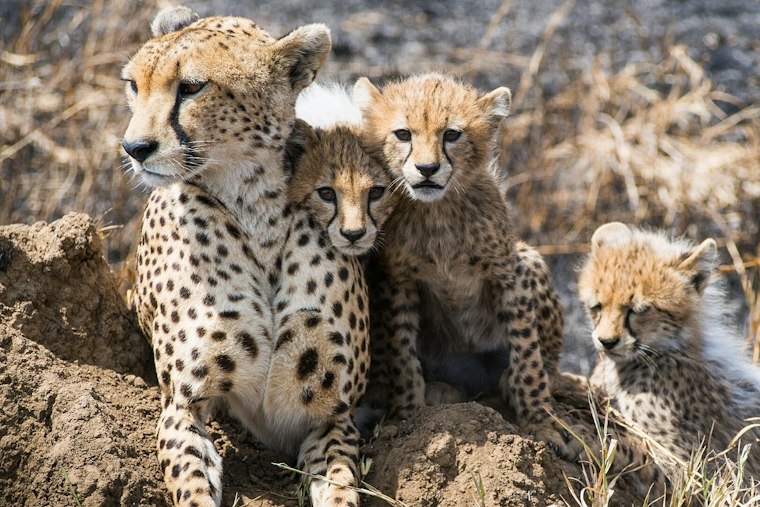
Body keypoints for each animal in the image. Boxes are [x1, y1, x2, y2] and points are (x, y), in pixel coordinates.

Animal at [122, 7, 369, 506]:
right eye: (133, 85)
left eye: (191, 87)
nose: (134, 148)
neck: (255, 207)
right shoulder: (182, 404)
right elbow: (192, 483)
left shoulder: (334, 416)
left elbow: (339, 487)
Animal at [351, 72, 581, 458]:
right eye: (403, 134)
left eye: (451, 135)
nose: (427, 169)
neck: (438, 210)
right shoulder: (398, 281)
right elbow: (402, 355)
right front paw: (405, 417)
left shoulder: (508, 271)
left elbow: (528, 357)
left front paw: (541, 421)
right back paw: (441, 391)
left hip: (530, 259)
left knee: (542, 362)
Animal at [578, 221, 760, 489]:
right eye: (596, 306)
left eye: (639, 310)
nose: (607, 342)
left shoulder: (703, 476)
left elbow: (631, 450)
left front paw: (572, 435)